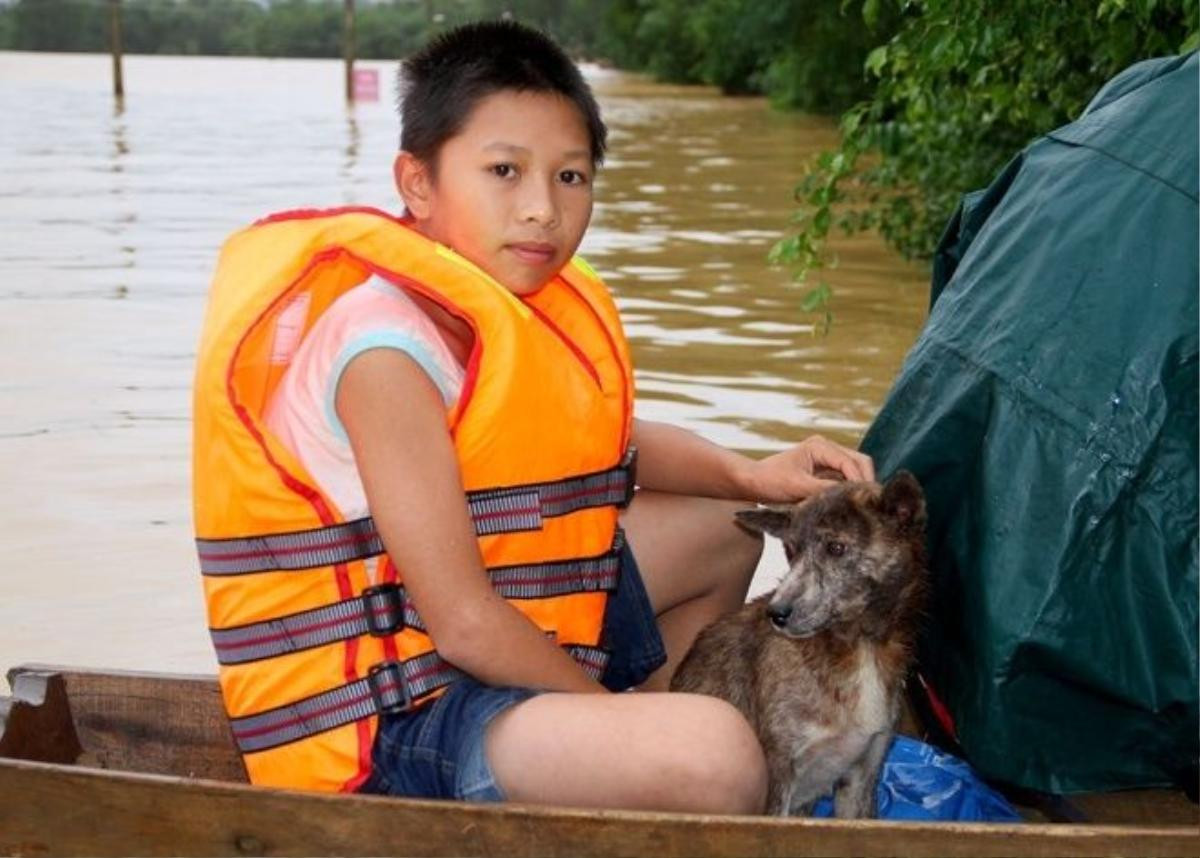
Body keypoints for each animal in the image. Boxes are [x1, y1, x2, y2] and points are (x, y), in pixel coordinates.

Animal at [676, 477, 926, 820]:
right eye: (792, 550)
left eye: (836, 548)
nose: (776, 613)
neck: (858, 647)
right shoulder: (778, 776)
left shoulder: (862, 777)